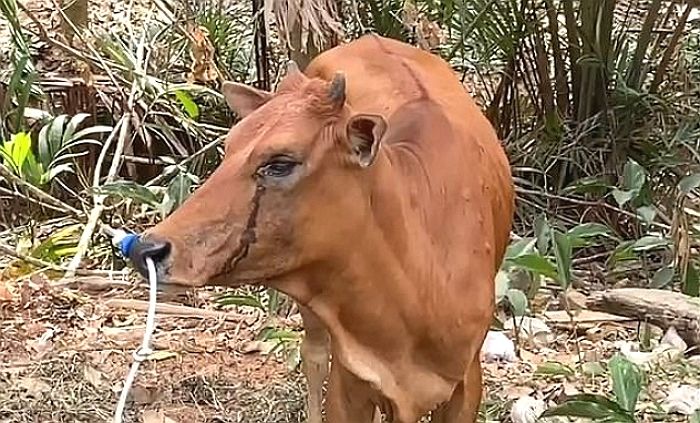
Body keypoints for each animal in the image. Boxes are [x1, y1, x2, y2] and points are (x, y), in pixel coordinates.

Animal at [129, 34, 516, 423]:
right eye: (228, 149)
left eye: (280, 163)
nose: (146, 248)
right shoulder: (350, 377)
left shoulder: (467, 379)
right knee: (313, 354)